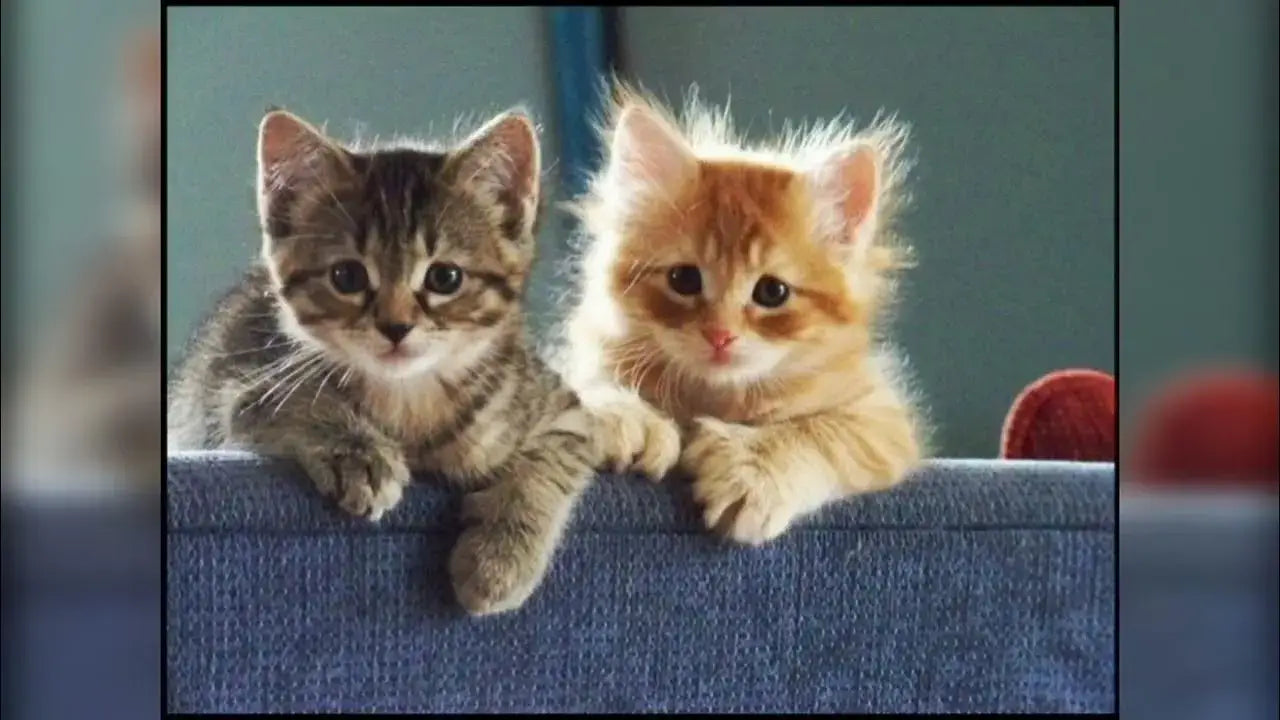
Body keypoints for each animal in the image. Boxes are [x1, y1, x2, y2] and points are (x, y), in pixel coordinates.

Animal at [168, 106, 599, 609]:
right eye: (347, 276)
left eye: (445, 277)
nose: (395, 326)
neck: (408, 399)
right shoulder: (247, 387)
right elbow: (302, 401)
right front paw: (359, 453)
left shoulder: (564, 409)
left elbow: (547, 464)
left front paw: (501, 559)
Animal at [560, 83, 931, 540]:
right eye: (684, 279)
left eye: (772, 292)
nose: (720, 335)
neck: (717, 399)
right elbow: (589, 384)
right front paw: (625, 417)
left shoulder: (880, 419)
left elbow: (813, 432)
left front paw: (753, 471)